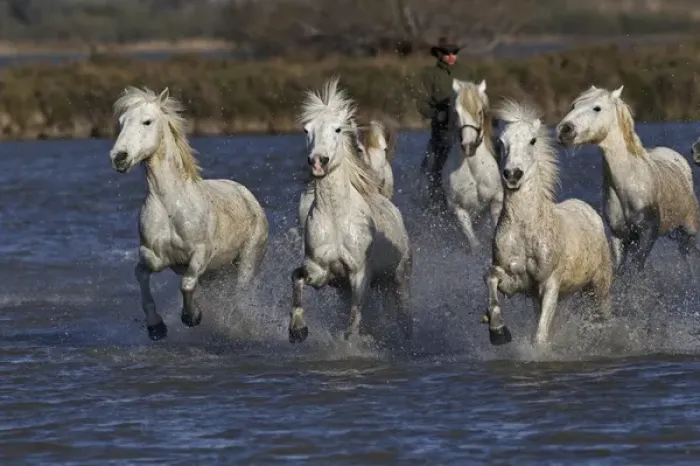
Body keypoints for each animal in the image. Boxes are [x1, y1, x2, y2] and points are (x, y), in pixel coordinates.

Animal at [109, 87, 269, 341]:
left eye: (147, 121)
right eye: (122, 122)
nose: (119, 157)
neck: (170, 205)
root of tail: (248, 196)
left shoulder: (200, 254)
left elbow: (186, 283)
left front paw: (192, 316)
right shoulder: (151, 253)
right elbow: (143, 273)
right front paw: (156, 327)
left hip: (247, 263)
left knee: (239, 294)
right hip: (216, 274)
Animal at [288, 77, 413, 344]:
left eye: (337, 129)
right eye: (306, 130)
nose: (318, 161)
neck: (337, 219)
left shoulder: (359, 275)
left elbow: (353, 321)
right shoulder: (321, 271)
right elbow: (296, 277)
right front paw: (297, 330)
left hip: (399, 280)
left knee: (404, 314)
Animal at [443, 78, 503, 250]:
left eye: (480, 112)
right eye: (456, 112)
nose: (469, 146)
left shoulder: (496, 200)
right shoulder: (458, 208)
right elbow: (473, 242)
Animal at [482, 99, 613, 347]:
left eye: (532, 141)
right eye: (501, 142)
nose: (512, 175)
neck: (526, 229)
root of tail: (589, 211)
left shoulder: (550, 283)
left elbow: (540, 337)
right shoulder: (518, 283)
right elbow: (490, 278)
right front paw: (498, 332)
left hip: (600, 285)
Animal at [557, 85, 700, 275]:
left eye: (597, 108)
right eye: (573, 106)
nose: (565, 130)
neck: (629, 184)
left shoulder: (647, 235)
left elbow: (637, 269)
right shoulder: (619, 235)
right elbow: (621, 269)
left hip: (687, 233)